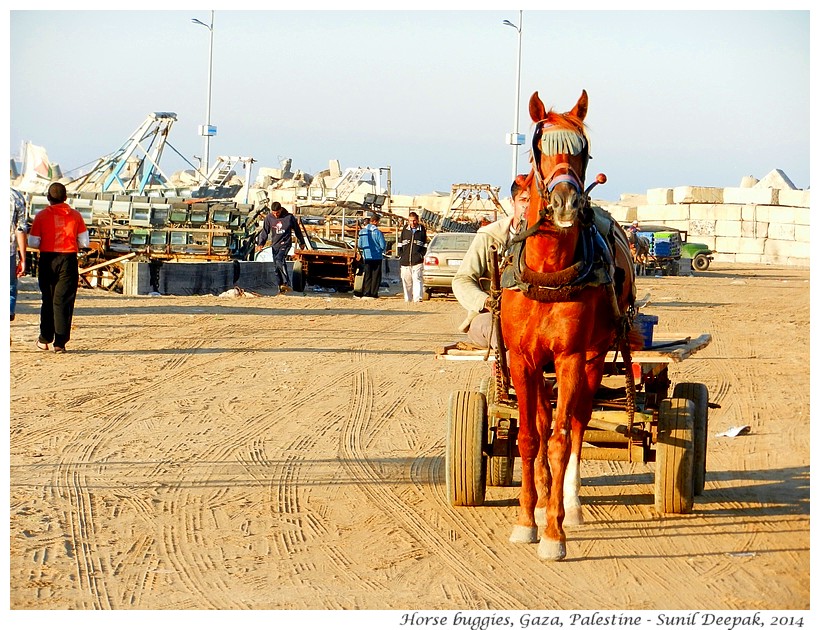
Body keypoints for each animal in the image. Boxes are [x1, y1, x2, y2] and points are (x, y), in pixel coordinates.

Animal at [496, 90, 636, 564]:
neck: (548, 272)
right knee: (541, 420)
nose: (566, 204)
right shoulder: (523, 359)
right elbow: (528, 437)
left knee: (576, 422)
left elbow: (560, 438)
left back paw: (567, 504)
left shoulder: (571, 356)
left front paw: (554, 533)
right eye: (540, 149)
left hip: (594, 357)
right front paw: (527, 520)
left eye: (583, 152)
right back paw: (541, 501)